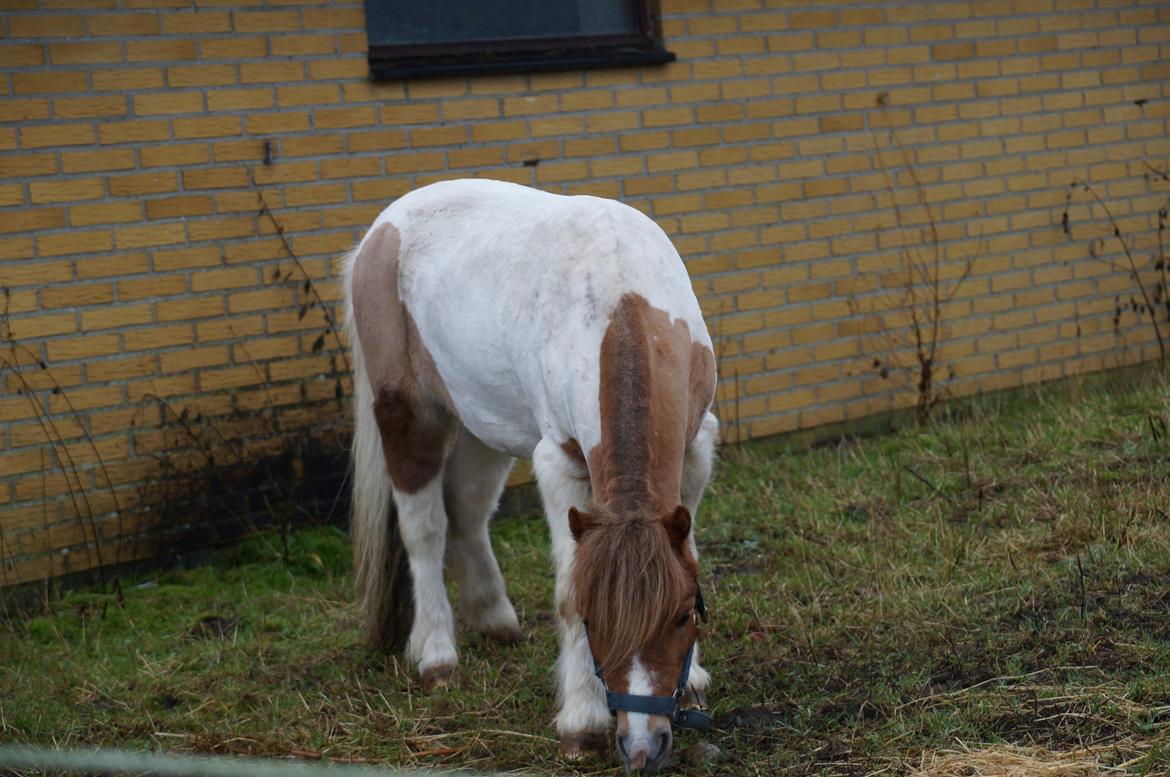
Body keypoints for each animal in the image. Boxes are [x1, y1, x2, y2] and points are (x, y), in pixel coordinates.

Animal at [341, 180, 716, 772]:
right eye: (592, 619)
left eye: (681, 617)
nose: (642, 746)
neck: (621, 300)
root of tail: (379, 234)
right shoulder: (561, 466)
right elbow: (565, 587)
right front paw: (581, 722)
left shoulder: (694, 452)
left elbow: (691, 559)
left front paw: (695, 680)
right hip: (408, 414)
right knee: (424, 529)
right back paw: (436, 654)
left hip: (482, 425)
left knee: (467, 509)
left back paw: (494, 617)